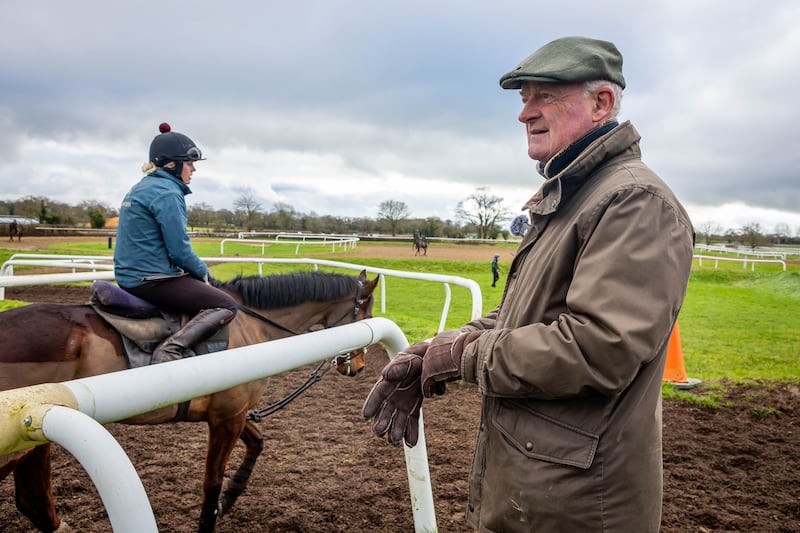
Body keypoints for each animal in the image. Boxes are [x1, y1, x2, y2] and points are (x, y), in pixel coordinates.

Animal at [0, 270, 380, 532]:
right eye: (364, 314)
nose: (359, 366)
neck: (251, 325)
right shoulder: (227, 417)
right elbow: (211, 483)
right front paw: (215, 509)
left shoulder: (234, 413)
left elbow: (257, 444)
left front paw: (228, 500)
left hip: (34, 441)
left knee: (33, 502)